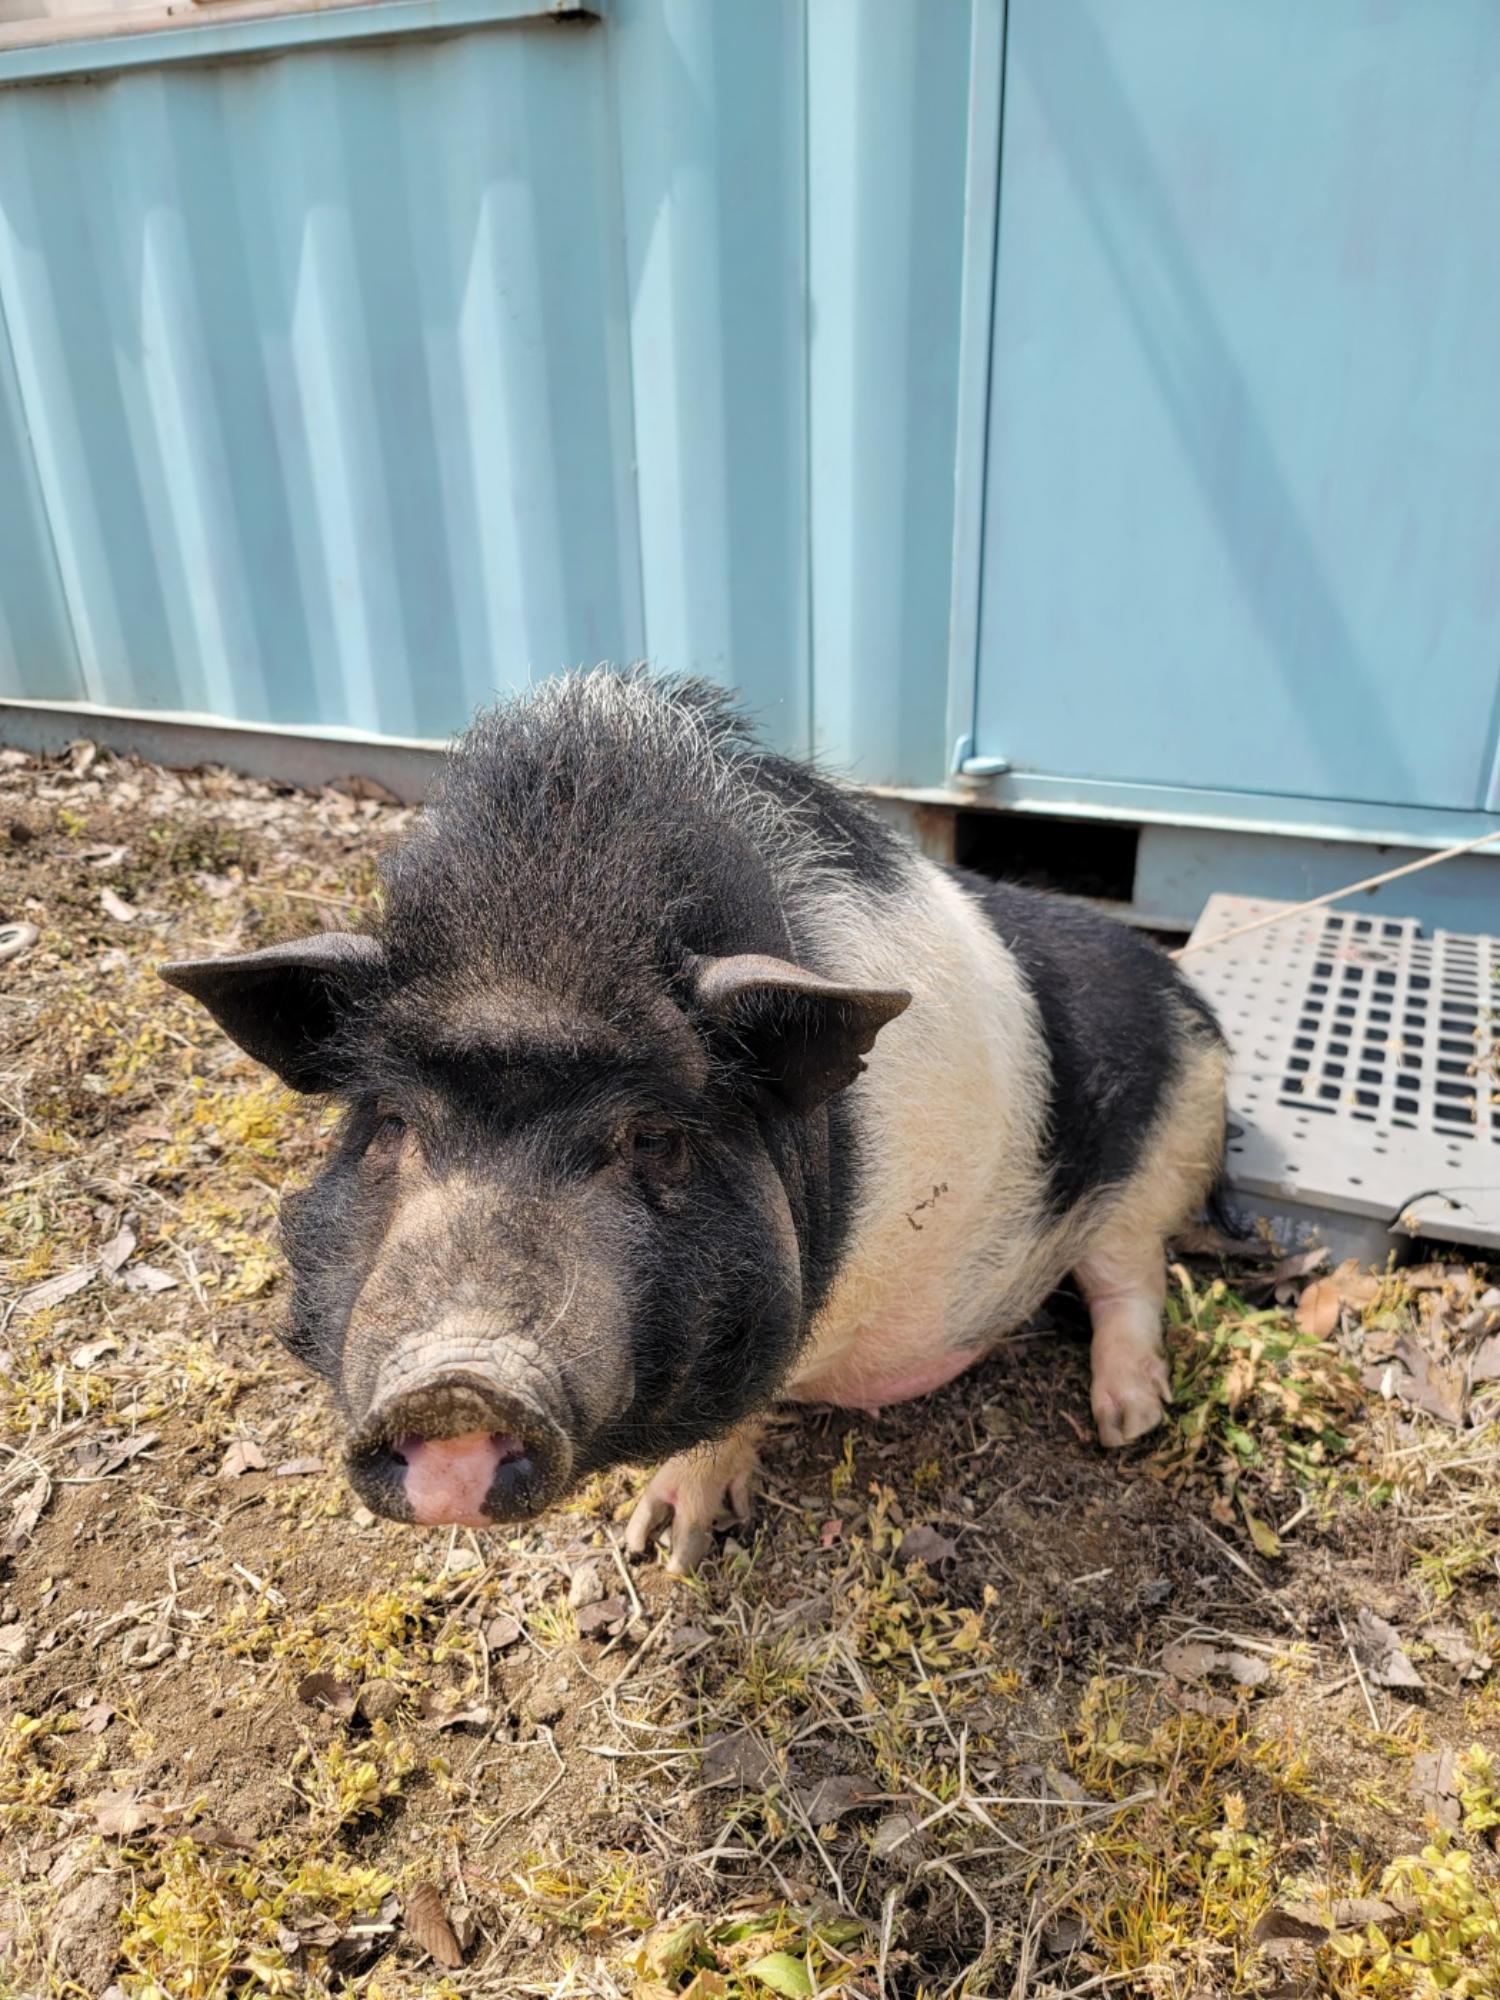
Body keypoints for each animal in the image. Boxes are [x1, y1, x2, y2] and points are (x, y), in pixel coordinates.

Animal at [164, 680, 1224, 1568]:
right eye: (388, 1122)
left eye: (652, 1137)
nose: (455, 1383)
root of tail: (1176, 984)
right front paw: (648, 1547)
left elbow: (731, 1420)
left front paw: (661, 1552)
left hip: (1179, 1137)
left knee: (1130, 1270)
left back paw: (1129, 1425)